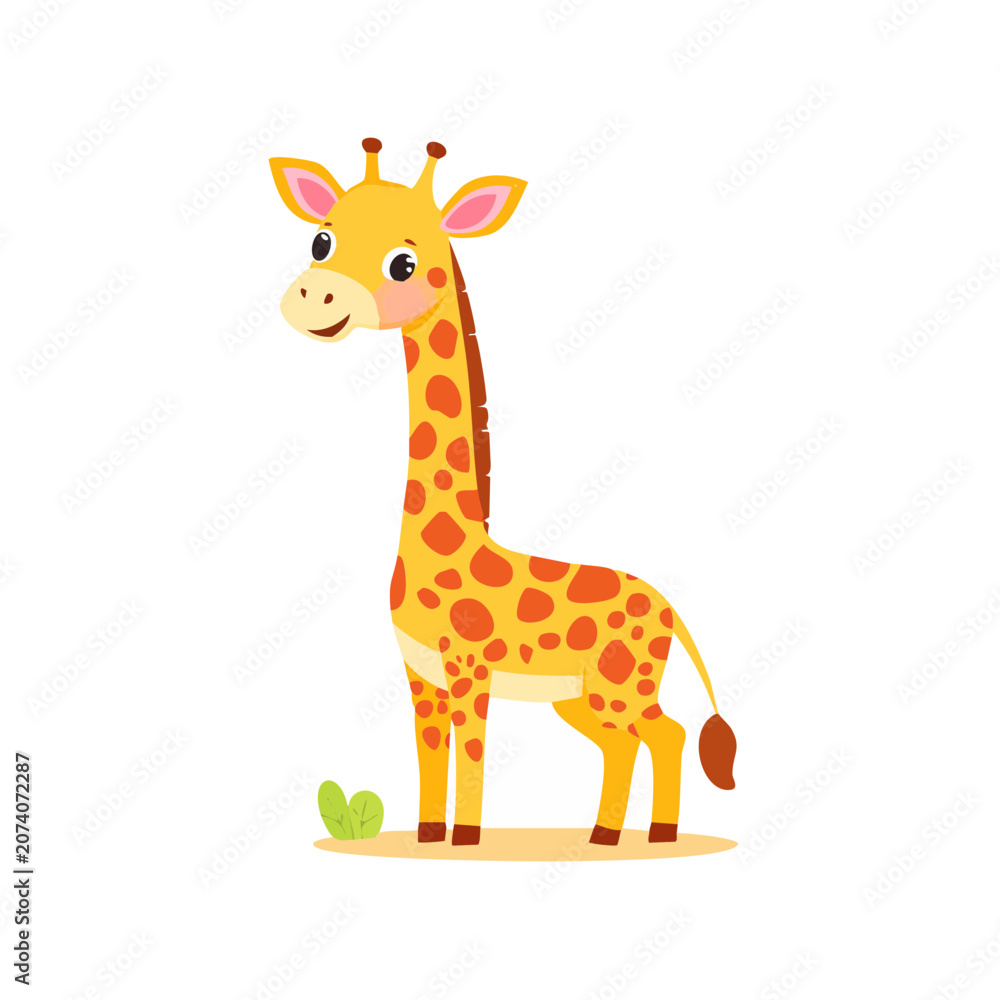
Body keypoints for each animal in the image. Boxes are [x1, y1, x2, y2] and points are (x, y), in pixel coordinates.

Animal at [269, 139, 737, 848]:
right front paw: (429, 835)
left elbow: (473, 754)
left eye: (403, 262)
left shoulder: (470, 671)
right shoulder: (421, 677)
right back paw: (601, 837)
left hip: (620, 687)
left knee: (668, 732)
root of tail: (670, 610)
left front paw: (466, 839)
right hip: (581, 696)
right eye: (322, 240)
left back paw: (655, 836)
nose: (313, 297)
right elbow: (429, 755)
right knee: (626, 743)